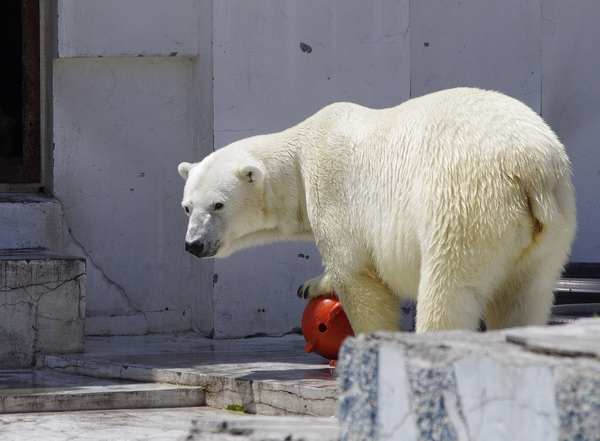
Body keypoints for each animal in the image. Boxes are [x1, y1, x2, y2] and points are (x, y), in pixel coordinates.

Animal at [179, 88, 576, 334]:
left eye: (217, 204)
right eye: (187, 207)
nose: (194, 244)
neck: (302, 155)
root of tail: (530, 168)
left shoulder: (335, 191)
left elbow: (358, 276)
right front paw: (312, 285)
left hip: (465, 205)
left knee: (449, 291)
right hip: (549, 229)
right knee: (523, 298)